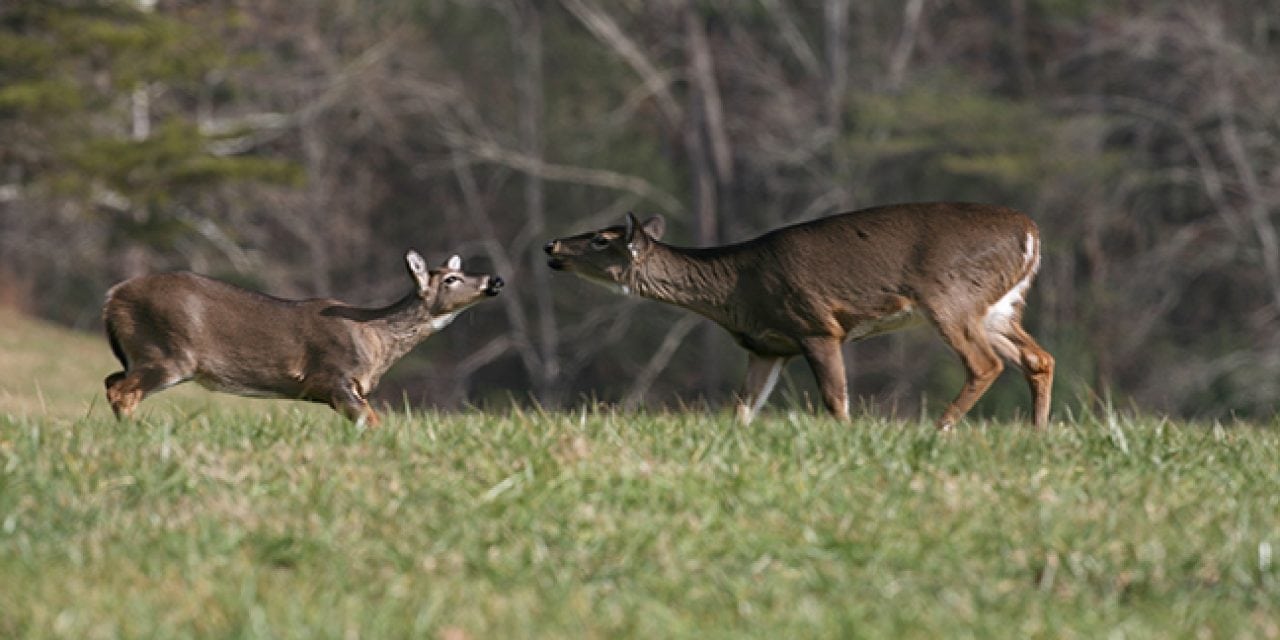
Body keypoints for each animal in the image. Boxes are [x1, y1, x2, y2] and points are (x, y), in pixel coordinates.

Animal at [102, 252, 501, 427]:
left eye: (460, 271)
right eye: (450, 278)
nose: (495, 280)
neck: (376, 339)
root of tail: (112, 296)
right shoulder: (333, 377)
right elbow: (371, 421)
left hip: (143, 354)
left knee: (111, 381)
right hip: (167, 351)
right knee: (123, 391)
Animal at [545, 202, 1054, 427]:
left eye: (600, 239)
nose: (551, 246)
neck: (737, 290)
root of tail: (1031, 232)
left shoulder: (816, 325)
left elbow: (836, 400)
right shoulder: (767, 348)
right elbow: (742, 408)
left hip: (951, 295)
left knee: (985, 363)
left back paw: (940, 430)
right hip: (999, 306)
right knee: (1038, 358)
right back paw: (1036, 434)